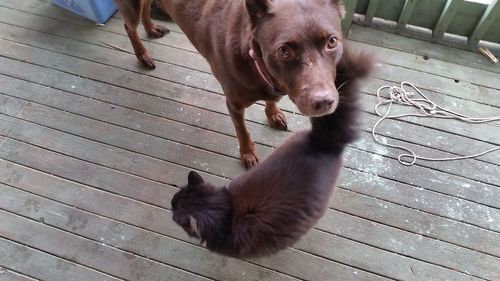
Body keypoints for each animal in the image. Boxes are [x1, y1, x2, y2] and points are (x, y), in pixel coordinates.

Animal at [114, 0, 348, 166]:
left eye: (332, 41)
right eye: (284, 50)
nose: (324, 102)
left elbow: (272, 100)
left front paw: (273, 113)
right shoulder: (233, 104)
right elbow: (242, 130)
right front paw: (248, 154)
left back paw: (151, 28)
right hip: (131, 7)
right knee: (129, 26)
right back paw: (142, 55)